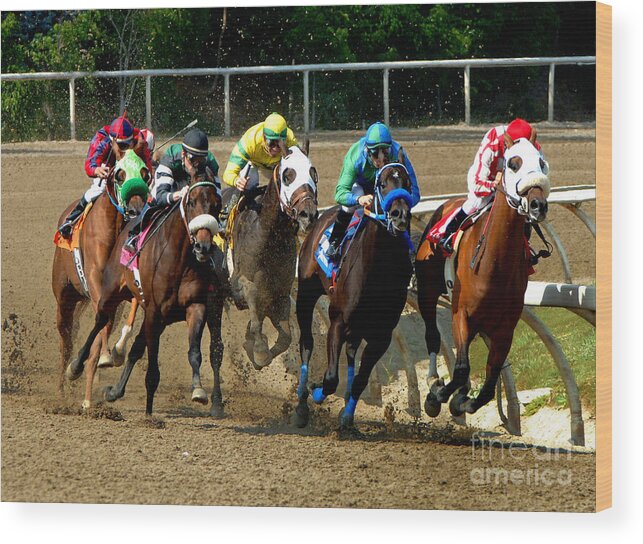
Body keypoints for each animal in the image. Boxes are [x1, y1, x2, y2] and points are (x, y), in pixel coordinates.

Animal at [53, 162, 148, 408]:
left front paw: (112, 353)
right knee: (66, 339)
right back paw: (62, 389)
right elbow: (97, 327)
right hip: (64, 296)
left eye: (145, 174)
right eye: (119, 175)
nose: (136, 210)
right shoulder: (96, 280)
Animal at [66, 168, 226, 414]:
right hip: (112, 293)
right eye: (191, 202)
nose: (202, 247)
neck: (179, 260)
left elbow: (194, 352)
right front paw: (149, 414)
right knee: (100, 321)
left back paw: (114, 391)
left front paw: (198, 391)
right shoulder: (153, 310)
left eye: (217, 205)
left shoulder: (195, 306)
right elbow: (151, 365)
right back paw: (76, 366)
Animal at [229, 142, 320, 370]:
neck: (268, 238)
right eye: (288, 175)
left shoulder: (280, 294)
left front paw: (253, 346)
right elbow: (254, 306)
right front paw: (260, 352)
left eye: (313, 173)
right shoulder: (241, 284)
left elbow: (286, 336)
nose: (308, 214)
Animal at [296, 159, 416, 428]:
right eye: (382, 184)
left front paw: (347, 416)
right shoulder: (338, 321)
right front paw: (316, 391)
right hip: (306, 293)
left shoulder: (381, 336)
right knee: (307, 342)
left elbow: (361, 379)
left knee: (351, 352)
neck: (379, 270)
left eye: (407, 182)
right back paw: (301, 400)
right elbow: (330, 378)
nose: (400, 215)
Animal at [416, 134, 552, 418]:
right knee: (432, 335)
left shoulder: (505, 328)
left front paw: (463, 400)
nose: (538, 205)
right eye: (513, 163)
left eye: (542, 163)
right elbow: (460, 368)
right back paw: (433, 381)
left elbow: (490, 382)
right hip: (426, 292)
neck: (494, 266)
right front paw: (440, 396)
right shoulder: (461, 314)